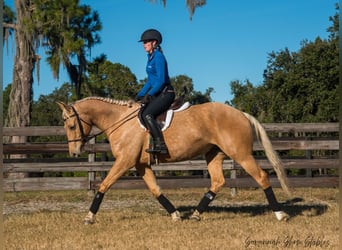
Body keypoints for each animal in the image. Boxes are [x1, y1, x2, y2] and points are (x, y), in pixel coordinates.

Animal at [58, 96, 292, 224]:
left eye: (71, 125)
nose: (75, 152)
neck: (120, 120)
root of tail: (241, 114)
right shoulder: (141, 165)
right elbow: (155, 190)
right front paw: (176, 215)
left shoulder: (125, 161)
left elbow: (103, 186)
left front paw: (89, 217)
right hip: (214, 154)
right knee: (218, 182)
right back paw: (196, 215)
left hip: (241, 155)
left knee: (261, 177)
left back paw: (281, 214)